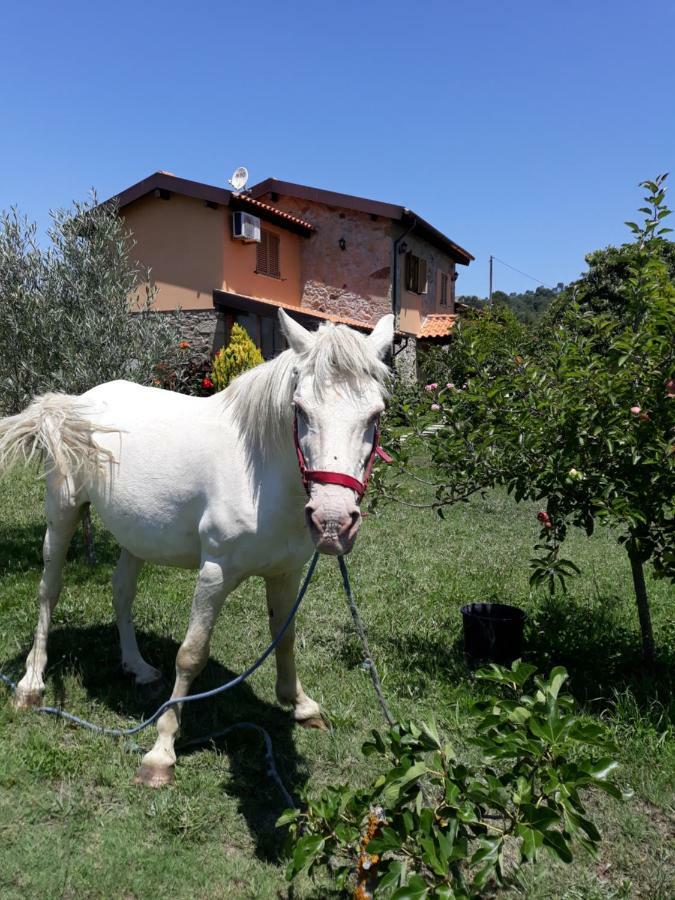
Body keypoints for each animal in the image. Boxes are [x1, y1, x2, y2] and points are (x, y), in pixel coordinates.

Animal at [0, 312, 394, 788]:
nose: (333, 522)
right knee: (49, 591)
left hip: (137, 534)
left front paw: (299, 704)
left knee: (121, 592)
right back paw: (30, 684)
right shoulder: (215, 572)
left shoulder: (285, 573)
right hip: (62, 513)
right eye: (300, 410)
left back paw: (138, 668)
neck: (261, 471)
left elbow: (284, 638)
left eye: (375, 414)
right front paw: (160, 752)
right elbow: (191, 654)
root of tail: (78, 401)